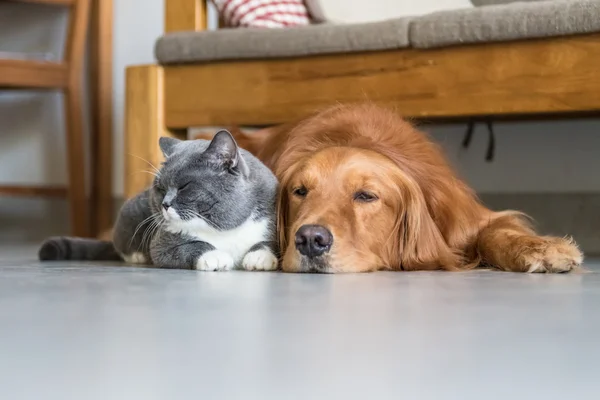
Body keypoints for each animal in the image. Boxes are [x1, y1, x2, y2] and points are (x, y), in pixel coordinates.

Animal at [39, 131, 278, 272]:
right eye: (160, 188)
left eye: (184, 186)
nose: (165, 203)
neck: (223, 230)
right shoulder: (161, 243)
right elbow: (190, 246)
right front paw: (216, 256)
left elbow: (268, 242)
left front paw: (260, 257)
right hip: (129, 212)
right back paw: (137, 256)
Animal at [199, 102, 584, 276]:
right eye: (300, 191)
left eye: (366, 196)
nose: (309, 239)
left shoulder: (464, 217)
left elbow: (496, 231)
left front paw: (541, 249)